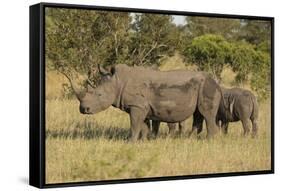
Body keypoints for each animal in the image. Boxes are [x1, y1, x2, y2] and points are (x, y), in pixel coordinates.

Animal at [68, 65, 223, 141]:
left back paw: (209, 141)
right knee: (198, 114)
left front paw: (130, 142)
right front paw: (143, 141)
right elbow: (143, 126)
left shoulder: (137, 106)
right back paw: (189, 140)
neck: (117, 82)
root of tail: (217, 83)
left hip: (207, 87)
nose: (83, 109)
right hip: (203, 87)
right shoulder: (141, 107)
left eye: (99, 95)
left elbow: (134, 125)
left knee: (207, 114)